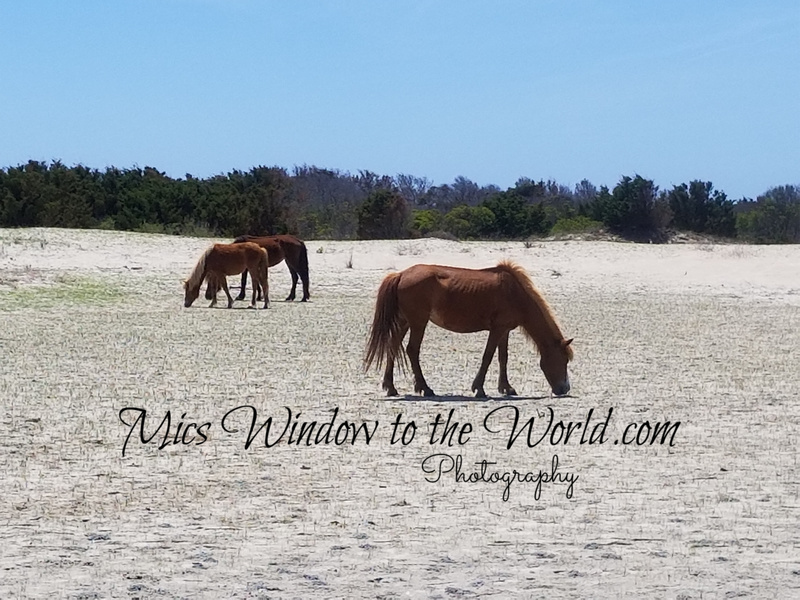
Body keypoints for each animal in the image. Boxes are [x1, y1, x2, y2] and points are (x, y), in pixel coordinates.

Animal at [364, 261, 573, 398]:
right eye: (563, 360)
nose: (565, 389)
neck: (514, 293)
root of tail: (400, 275)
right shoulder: (497, 329)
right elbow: (488, 356)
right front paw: (479, 389)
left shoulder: (505, 330)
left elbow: (502, 358)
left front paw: (506, 388)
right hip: (418, 322)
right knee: (412, 350)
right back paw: (426, 388)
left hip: (404, 322)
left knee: (393, 346)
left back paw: (391, 388)